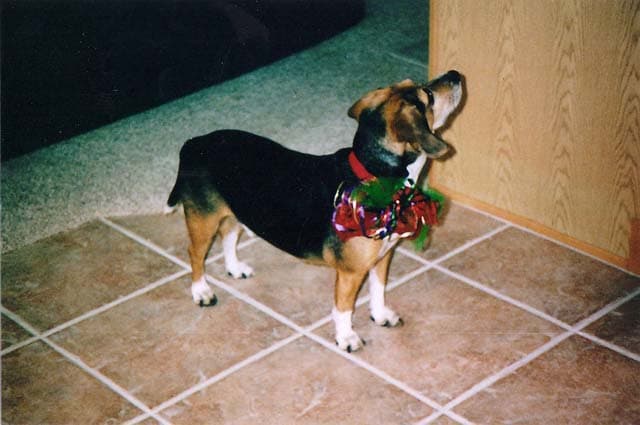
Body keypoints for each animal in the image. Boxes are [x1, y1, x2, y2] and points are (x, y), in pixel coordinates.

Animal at [168, 71, 462, 352]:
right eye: (428, 96)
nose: (456, 74)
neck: (376, 176)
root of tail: (194, 142)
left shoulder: (382, 259)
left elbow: (378, 290)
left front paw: (380, 315)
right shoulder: (350, 274)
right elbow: (343, 308)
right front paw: (346, 338)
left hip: (235, 211)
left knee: (228, 237)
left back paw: (234, 268)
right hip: (203, 220)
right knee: (195, 254)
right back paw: (201, 291)